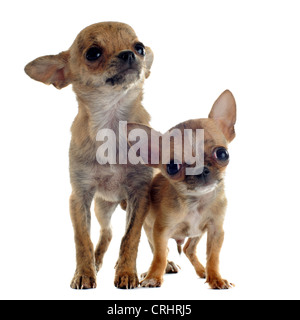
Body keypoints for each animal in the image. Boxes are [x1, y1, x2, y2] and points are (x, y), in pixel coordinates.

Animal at [24, 21, 154, 290]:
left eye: (139, 47)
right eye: (93, 53)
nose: (130, 54)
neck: (112, 124)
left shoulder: (140, 193)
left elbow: (131, 237)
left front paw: (127, 272)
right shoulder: (79, 196)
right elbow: (82, 239)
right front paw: (84, 273)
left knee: (149, 238)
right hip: (103, 207)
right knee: (107, 233)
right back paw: (97, 261)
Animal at [126, 90, 237, 290]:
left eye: (222, 154)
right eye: (172, 167)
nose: (201, 168)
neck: (196, 202)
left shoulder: (216, 230)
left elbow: (213, 257)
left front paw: (216, 278)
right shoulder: (160, 231)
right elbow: (159, 256)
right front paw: (153, 277)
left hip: (198, 233)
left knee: (188, 248)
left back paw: (202, 271)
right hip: (148, 228)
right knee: (163, 249)